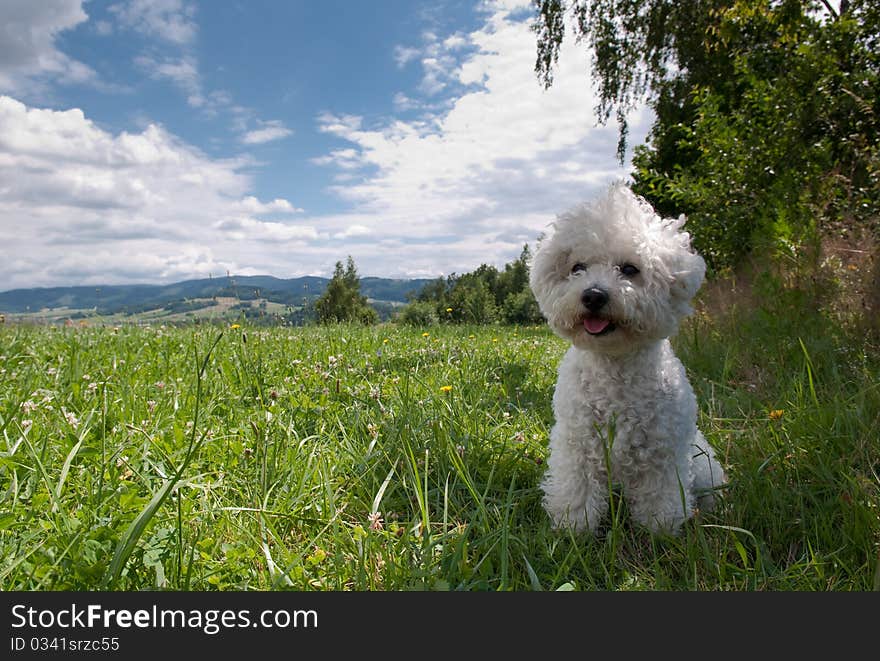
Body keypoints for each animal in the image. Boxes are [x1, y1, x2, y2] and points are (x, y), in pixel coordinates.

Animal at [528, 183, 720, 532]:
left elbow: (660, 498)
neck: (614, 369)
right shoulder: (577, 445)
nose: (593, 295)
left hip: (704, 466)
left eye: (630, 269)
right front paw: (573, 530)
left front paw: (661, 531)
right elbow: (578, 494)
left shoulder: (662, 452)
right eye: (577, 268)